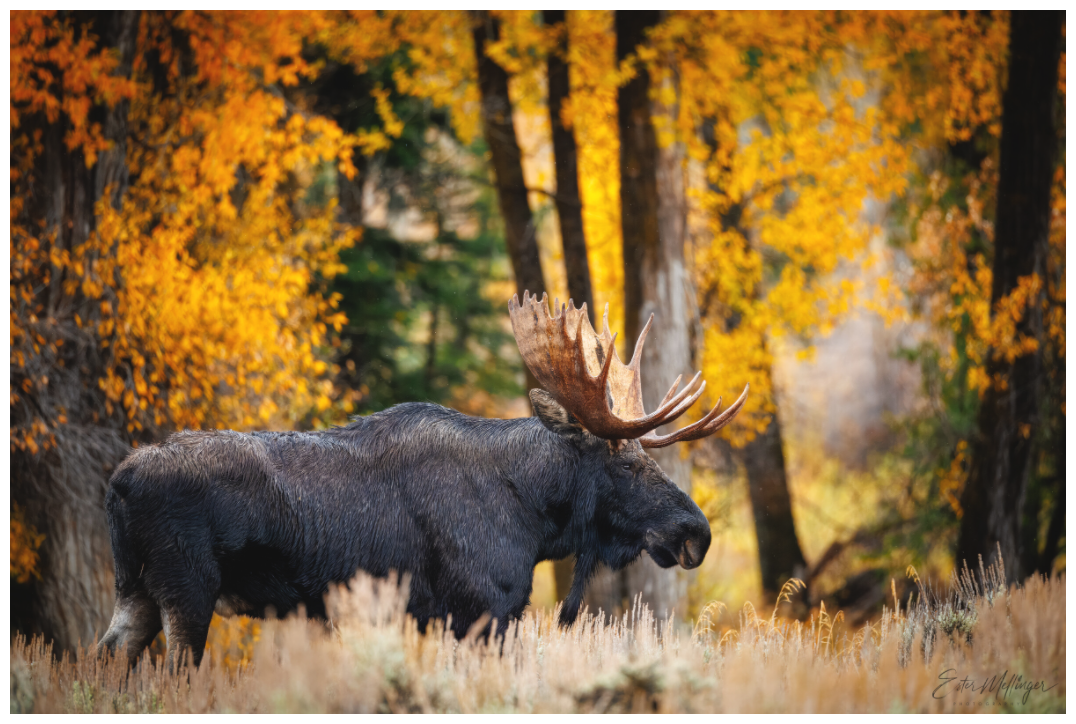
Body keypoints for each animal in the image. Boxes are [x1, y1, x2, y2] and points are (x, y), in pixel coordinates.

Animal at [98, 292, 747, 668]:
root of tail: (119, 483)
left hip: (135, 589)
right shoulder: (482, 609)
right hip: (188, 588)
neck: (534, 517)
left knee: (108, 659)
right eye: (625, 463)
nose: (696, 532)